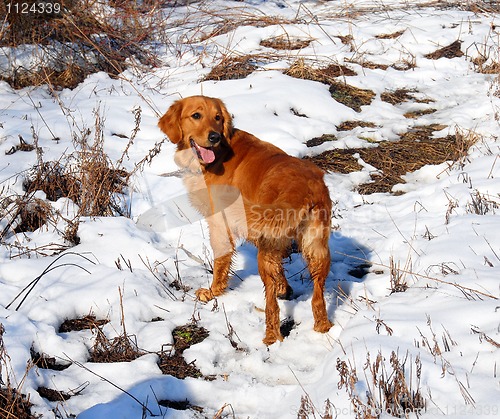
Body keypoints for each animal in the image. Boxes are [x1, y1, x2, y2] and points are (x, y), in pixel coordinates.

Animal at [159, 97, 332, 346]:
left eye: (217, 117)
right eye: (196, 116)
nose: (214, 136)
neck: (220, 152)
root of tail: (306, 187)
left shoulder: (220, 225)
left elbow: (220, 263)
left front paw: (213, 292)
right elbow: (282, 273)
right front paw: (285, 288)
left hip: (266, 252)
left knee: (272, 306)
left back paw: (270, 337)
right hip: (316, 249)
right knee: (318, 297)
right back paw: (322, 328)